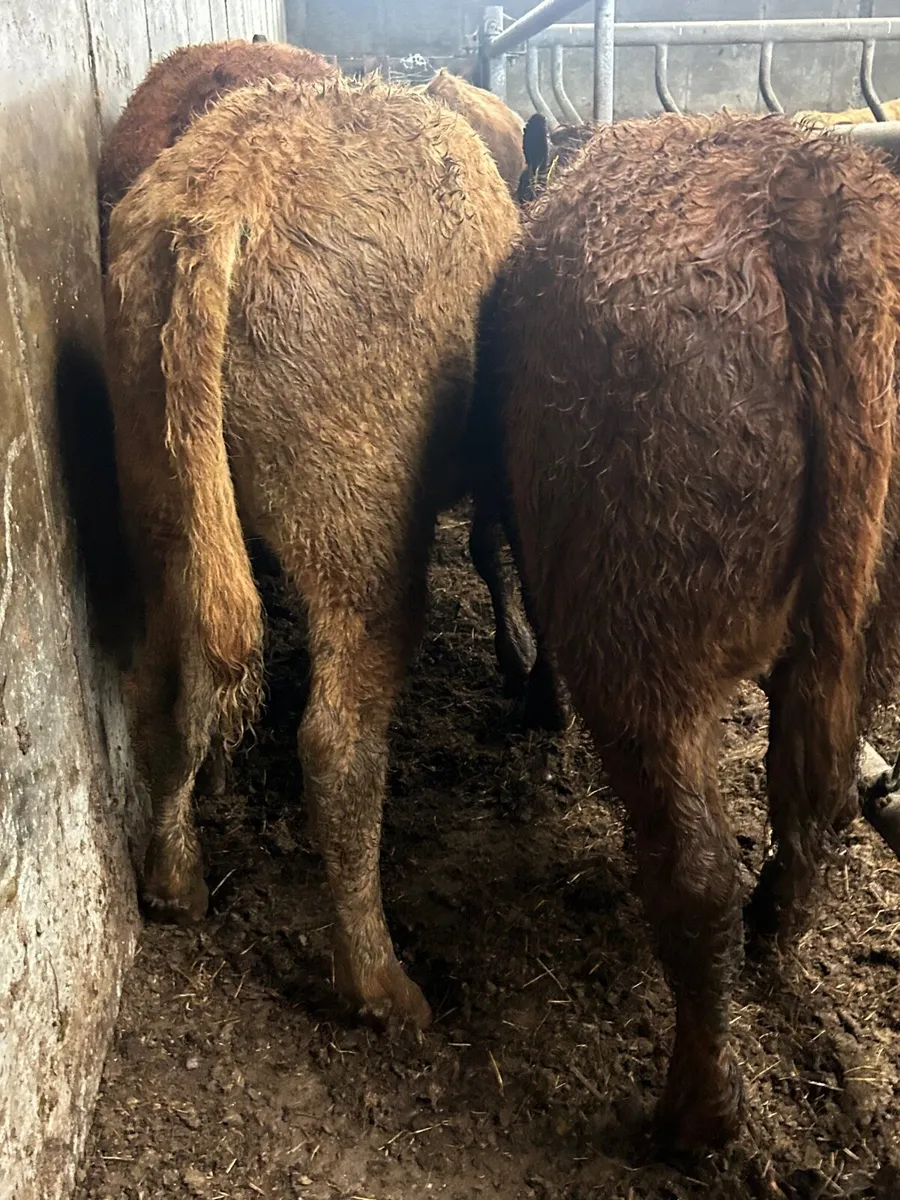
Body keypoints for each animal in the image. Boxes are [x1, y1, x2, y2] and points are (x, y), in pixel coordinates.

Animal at [104, 75, 520, 1030]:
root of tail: (224, 197)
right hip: (360, 535)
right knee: (336, 742)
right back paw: (382, 987)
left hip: (162, 499)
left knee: (165, 685)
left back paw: (174, 883)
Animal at [469, 111, 900, 1147]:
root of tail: (820, 205)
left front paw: (535, 698)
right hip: (874, 626)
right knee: (818, 805)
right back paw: (775, 927)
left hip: (643, 644)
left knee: (696, 872)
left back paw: (695, 1116)